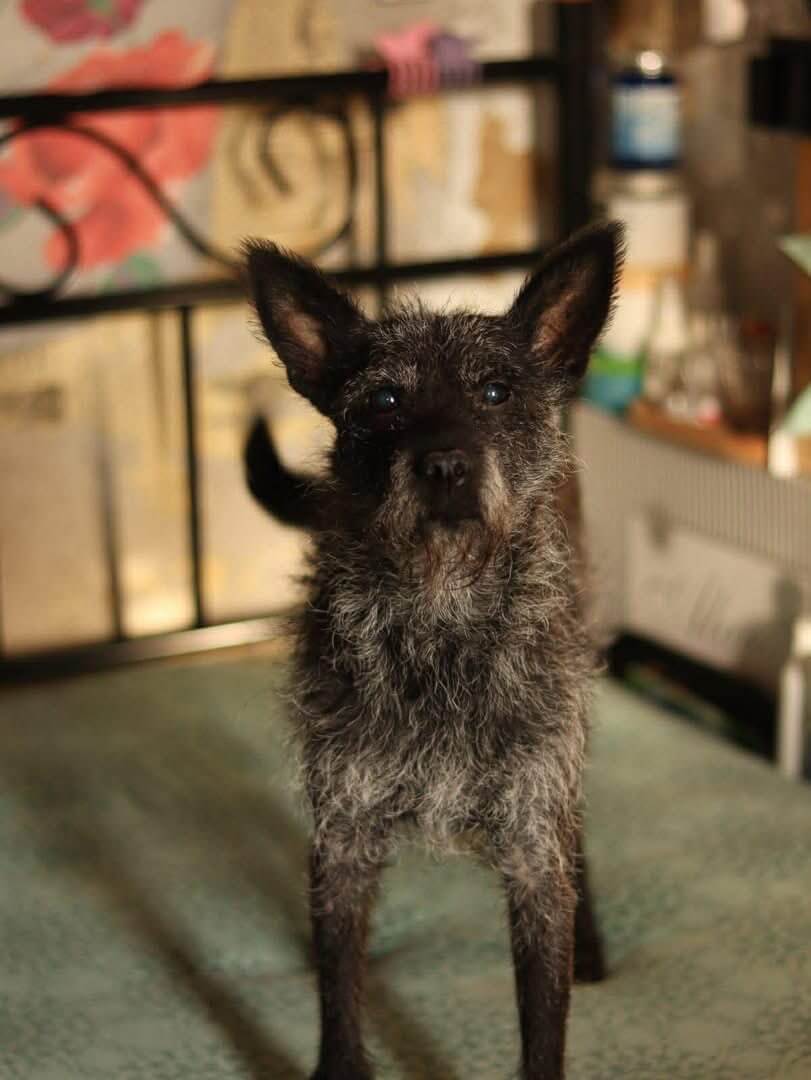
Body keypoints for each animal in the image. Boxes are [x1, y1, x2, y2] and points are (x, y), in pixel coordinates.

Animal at [243, 222, 622, 1080]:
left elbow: (543, 1018)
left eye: (496, 393)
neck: (440, 617)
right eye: (384, 401)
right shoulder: (343, 832)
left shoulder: (531, 838)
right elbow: (338, 984)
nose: (444, 464)